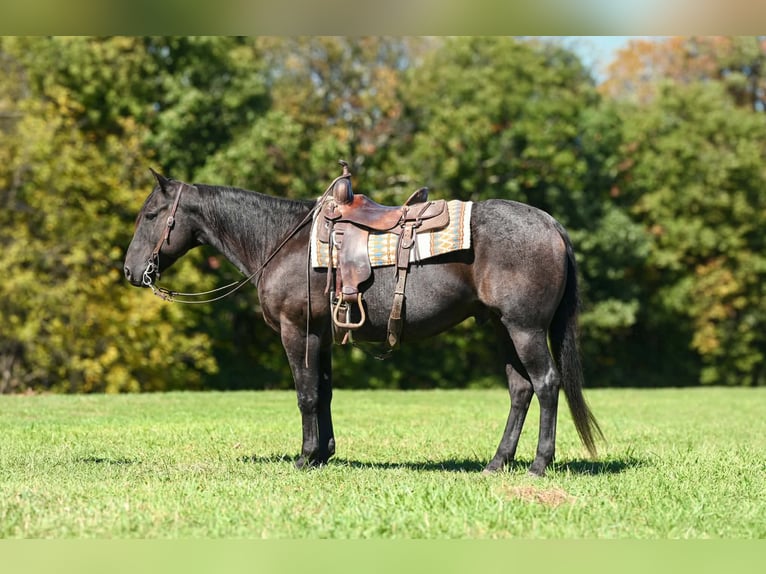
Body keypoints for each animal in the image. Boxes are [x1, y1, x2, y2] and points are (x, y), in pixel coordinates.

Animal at [123, 169, 603, 476]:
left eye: (151, 215)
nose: (130, 271)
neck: (284, 242)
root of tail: (548, 223)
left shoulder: (296, 330)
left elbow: (306, 394)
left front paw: (305, 457)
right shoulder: (321, 333)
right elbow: (324, 392)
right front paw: (323, 454)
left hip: (524, 328)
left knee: (546, 383)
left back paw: (539, 464)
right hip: (503, 328)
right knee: (520, 390)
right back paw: (497, 462)